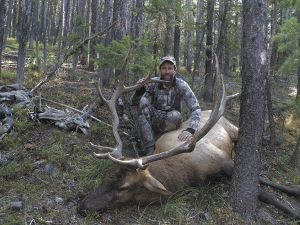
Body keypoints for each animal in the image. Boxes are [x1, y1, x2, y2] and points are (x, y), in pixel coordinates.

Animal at [77, 51, 300, 219]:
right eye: (106, 176)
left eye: (124, 188)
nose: (82, 206)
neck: (187, 176)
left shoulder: (224, 161)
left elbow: (266, 193)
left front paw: (293, 207)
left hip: (233, 128)